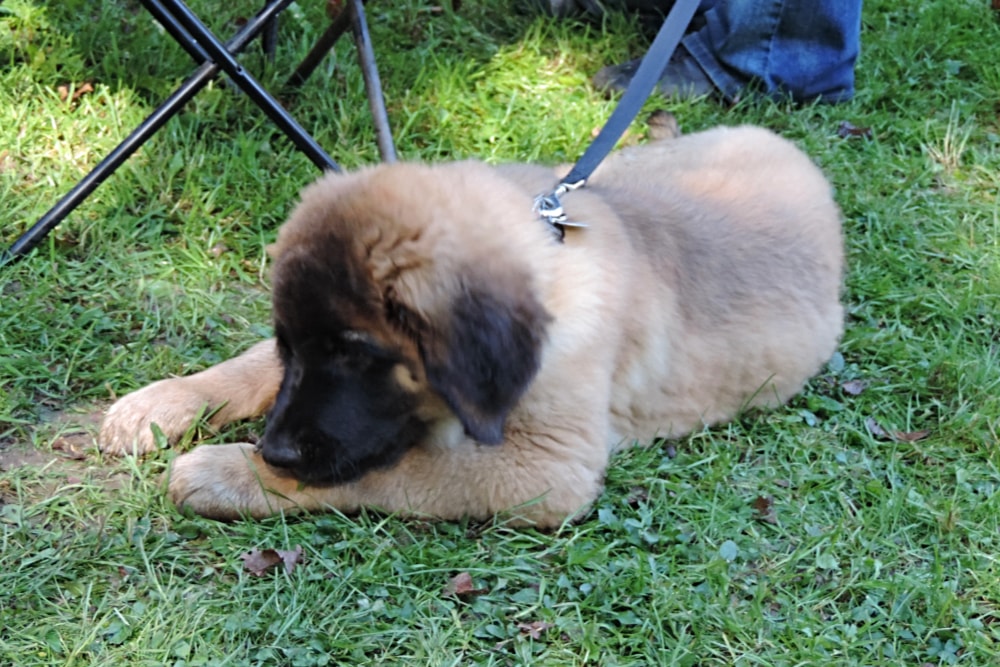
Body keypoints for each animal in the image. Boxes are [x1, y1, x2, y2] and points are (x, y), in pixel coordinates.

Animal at [99, 122, 844, 524]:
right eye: (297, 346)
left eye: (357, 354)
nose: (276, 450)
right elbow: (253, 365)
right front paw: (164, 402)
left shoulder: (548, 467)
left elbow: (396, 469)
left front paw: (232, 473)